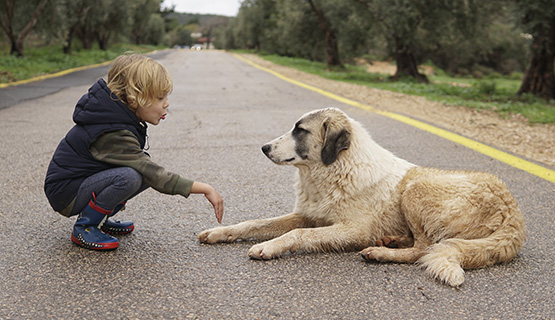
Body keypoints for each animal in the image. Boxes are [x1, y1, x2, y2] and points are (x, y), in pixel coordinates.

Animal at [199, 109, 524, 286]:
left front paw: (269, 247)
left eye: (300, 130)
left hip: (415, 189)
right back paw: (391, 241)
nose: (264, 148)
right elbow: (254, 223)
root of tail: (513, 210)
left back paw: (381, 252)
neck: (334, 169)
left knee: (424, 249)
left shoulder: (352, 230)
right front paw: (220, 232)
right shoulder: (307, 214)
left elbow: (298, 234)